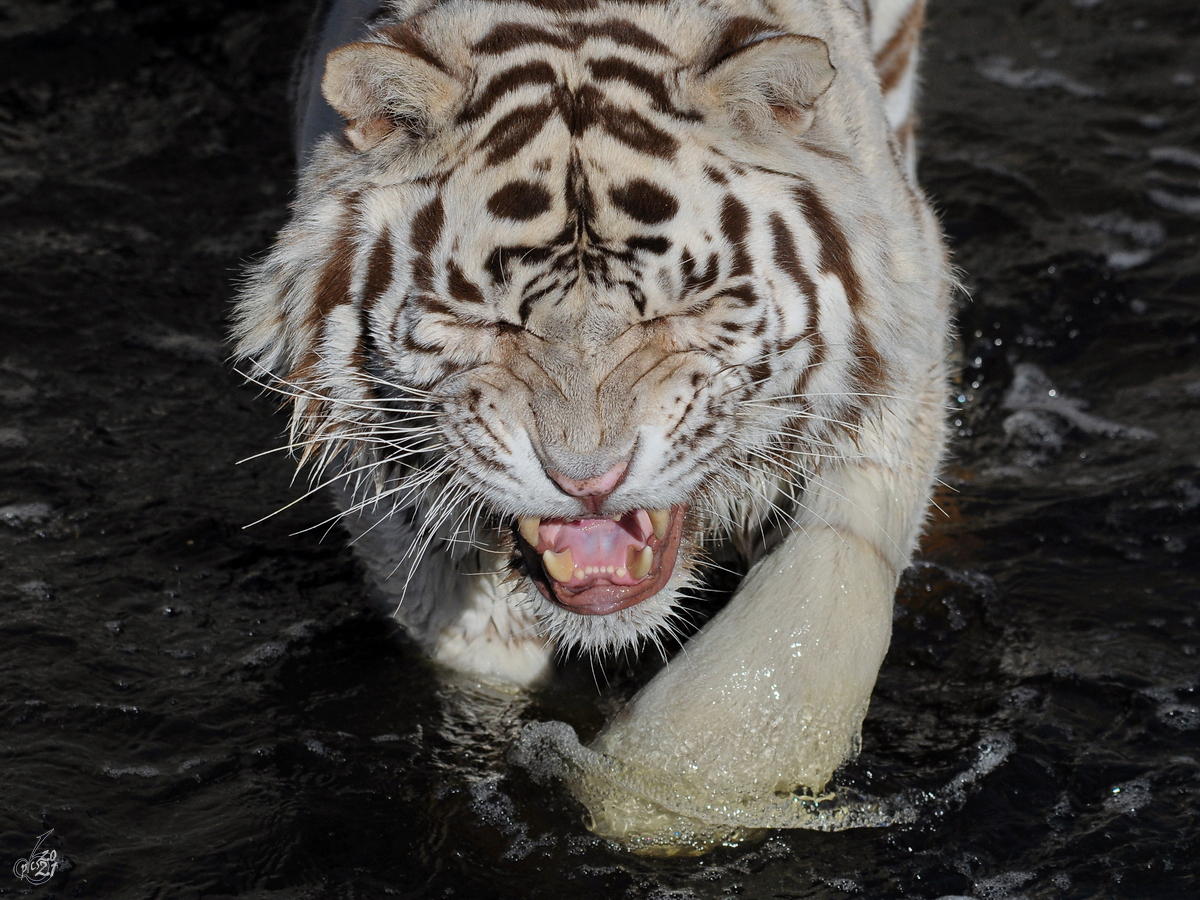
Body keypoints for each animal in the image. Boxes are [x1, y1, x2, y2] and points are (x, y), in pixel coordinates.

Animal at [231, 0, 945, 854]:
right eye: (485, 319)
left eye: (681, 309)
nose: (588, 480)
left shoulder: (901, 352)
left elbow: (808, 605)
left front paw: (658, 795)